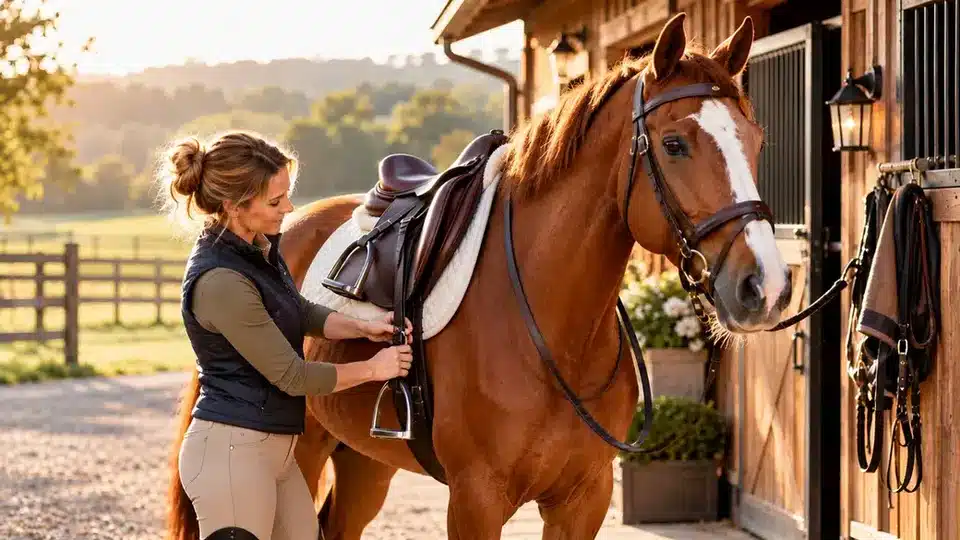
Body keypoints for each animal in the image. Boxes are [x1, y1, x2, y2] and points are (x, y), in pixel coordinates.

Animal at [166, 12, 792, 540]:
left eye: (757, 140)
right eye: (674, 143)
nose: (764, 286)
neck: (552, 332)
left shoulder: (583, 500)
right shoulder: (476, 501)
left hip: (364, 460)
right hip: (302, 450)